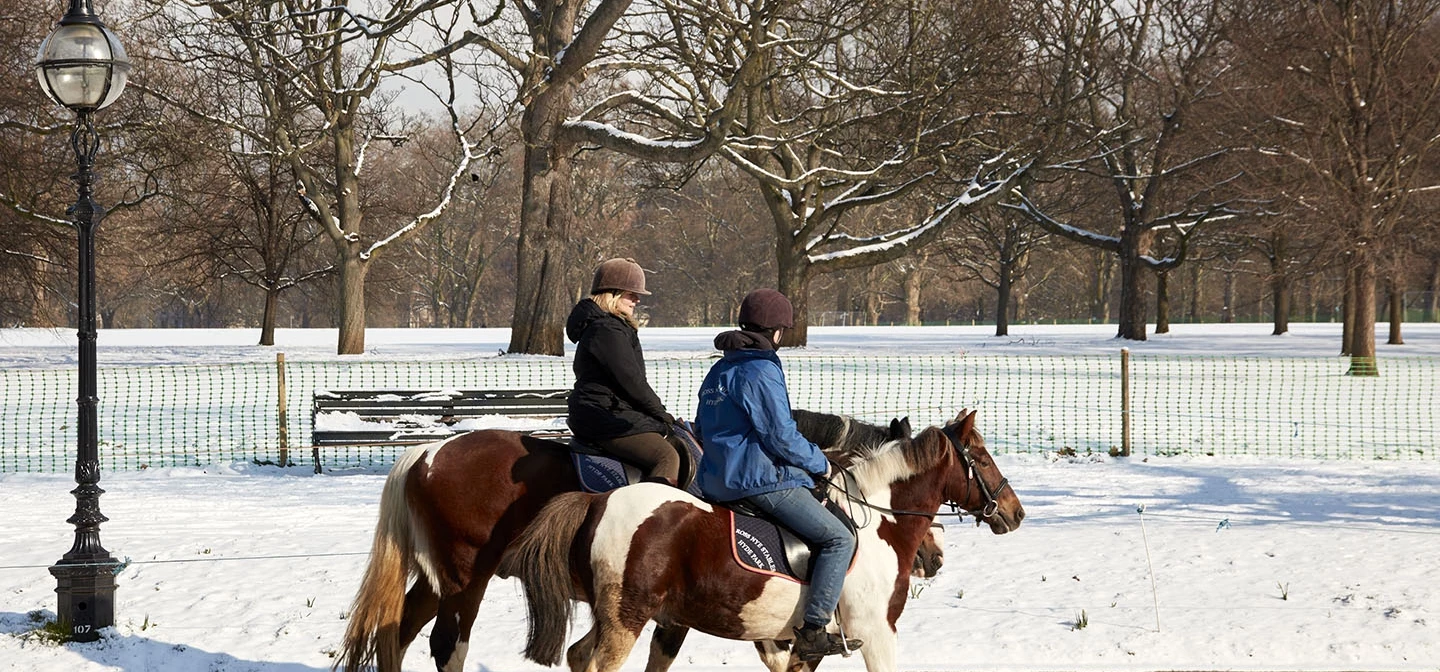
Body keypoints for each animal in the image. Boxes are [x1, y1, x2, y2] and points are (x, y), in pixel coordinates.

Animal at [335, 410, 916, 671]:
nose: (929, 559)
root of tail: (427, 453)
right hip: (466, 579)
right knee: (445, 643)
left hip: (440, 578)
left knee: (396, 630)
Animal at [497, 410, 1024, 672]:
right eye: (981, 456)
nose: (1016, 513)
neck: (877, 522)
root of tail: (599, 501)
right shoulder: (875, 633)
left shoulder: (793, 643)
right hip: (627, 619)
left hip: (618, 617)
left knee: (578, 655)